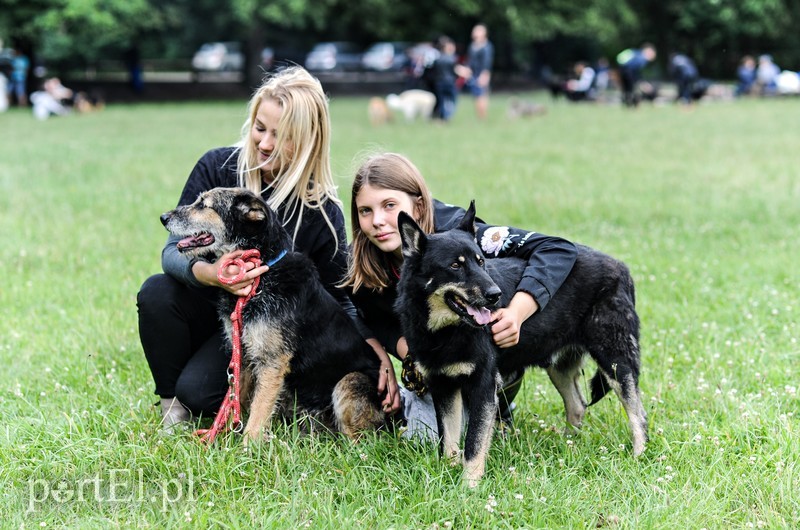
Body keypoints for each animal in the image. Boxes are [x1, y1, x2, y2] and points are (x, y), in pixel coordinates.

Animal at [159, 186, 384, 442]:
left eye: (203, 205)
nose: (163, 217)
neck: (264, 271)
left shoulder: (272, 361)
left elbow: (259, 409)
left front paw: (247, 446)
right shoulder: (243, 355)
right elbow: (237, 398)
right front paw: (224, 437)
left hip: (348, 381)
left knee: (360, 439)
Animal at [396, 203, 648, 486]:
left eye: (481, 262)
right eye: (454, 266)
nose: (495, 295)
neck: (443, 331)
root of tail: (622, 268)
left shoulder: (484, 386)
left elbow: (474, 443)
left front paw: (469, 486)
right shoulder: (444, 386)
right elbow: (448, 441)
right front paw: (448, 474)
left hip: (615, 360)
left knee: (637, 412)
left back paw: (639, 454)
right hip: (559, 368)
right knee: (577, 406)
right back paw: (568, 446)